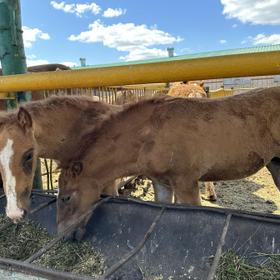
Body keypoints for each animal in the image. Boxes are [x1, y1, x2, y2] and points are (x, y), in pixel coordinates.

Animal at [56, 86, 280, 234]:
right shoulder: (162, 182)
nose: (63, 235)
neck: (150, 134)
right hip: (275, 163)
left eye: (66, 197)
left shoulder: (186, 182)